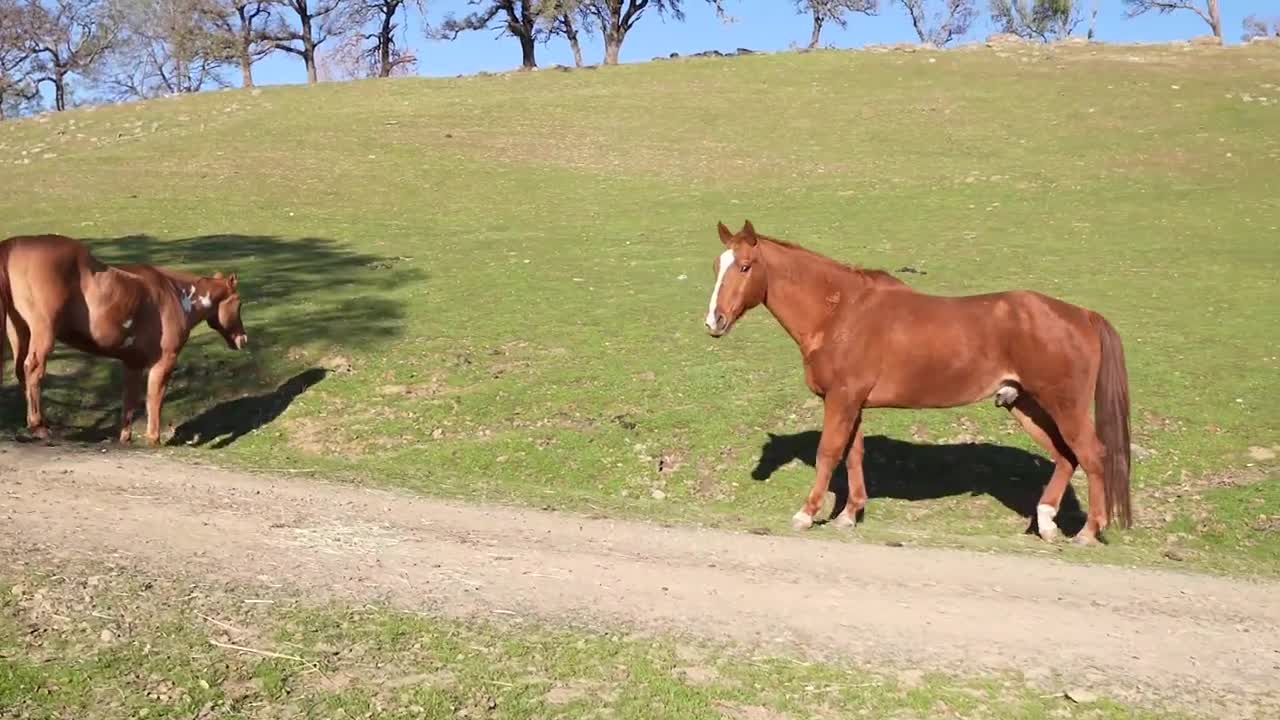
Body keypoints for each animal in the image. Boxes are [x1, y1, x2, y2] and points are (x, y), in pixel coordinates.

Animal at [0, 233, 248, 440]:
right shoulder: (164, 362)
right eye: (239, 303)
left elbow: (129, 401)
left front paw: (125, 437)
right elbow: (154, 399)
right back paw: (38, 425)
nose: (243, 339)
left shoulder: (132, 363)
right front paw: (153, 438)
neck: (177, 294)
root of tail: (12, 245)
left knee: (21, 370)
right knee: (33, 369)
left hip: (19, 332)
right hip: (43, 332)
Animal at [706, 220, 1136, 543]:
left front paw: (807, 513)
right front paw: (849, 514)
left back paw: (1088, 532)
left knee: (1091, 455)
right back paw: (1046, 522)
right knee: (1065, 456)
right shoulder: (852, 403)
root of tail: (1081, 314)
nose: (714, 321)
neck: (841, 313)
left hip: (1064, 405)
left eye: (745, 266)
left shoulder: (841, 399)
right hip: (1023, 403)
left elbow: (828, 453)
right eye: (717, 266)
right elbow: (854, 454)